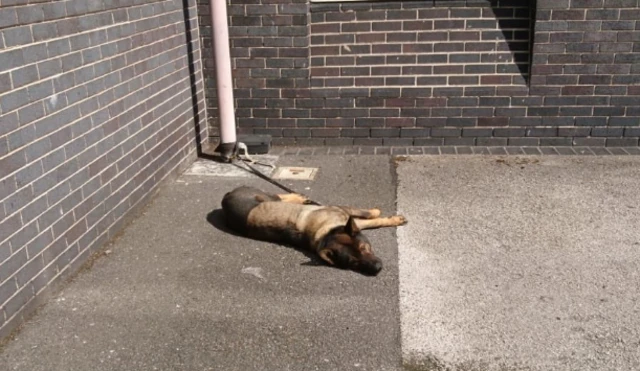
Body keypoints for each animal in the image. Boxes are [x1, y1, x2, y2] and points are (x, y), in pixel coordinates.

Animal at [222, 186, 408, 276]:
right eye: (353, 263)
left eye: (364, 248)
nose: (377, 268)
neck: (327, 233)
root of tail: (226, 196)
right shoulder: (343, 212)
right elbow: (372, 219)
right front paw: (389, 218)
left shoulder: (344, 211)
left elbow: (366, 214)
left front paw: (377, 212)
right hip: (267, 198)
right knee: (279, 195)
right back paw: (298, 197)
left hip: (267, 198)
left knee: (279, 195)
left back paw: (299, 197)